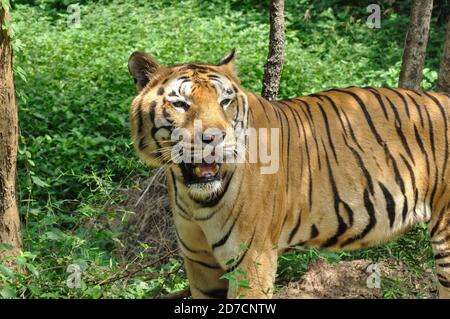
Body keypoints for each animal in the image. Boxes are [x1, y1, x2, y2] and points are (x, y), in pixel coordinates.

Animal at [126, 48, 450, 298]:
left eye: (224, 102)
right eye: (180, 104)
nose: (214, 138)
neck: (194, 198)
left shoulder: (252, 260)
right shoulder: (199, 263)